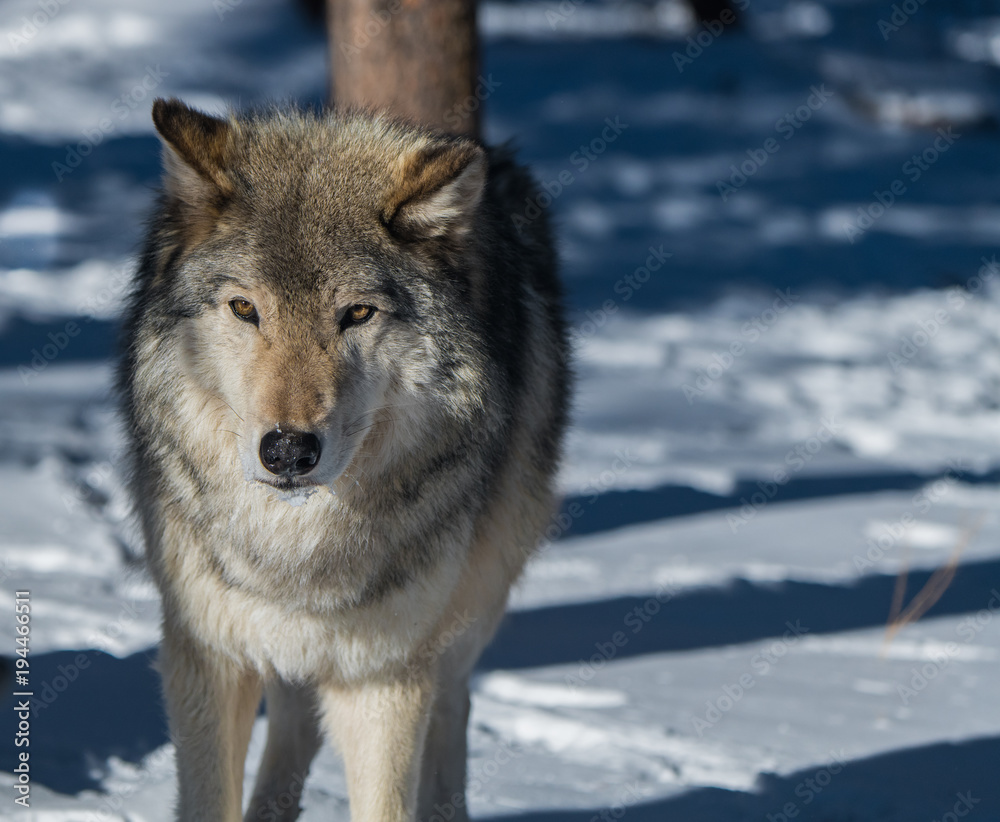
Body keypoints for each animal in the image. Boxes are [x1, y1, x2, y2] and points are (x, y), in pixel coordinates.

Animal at [117, 98, 569, 822]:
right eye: (244, 308)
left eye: (357, 313)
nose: (288, 451)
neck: (297, 544)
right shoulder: (208, 651)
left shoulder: (384, 672)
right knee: (296, 718)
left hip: (472, 598)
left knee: (453, 705)